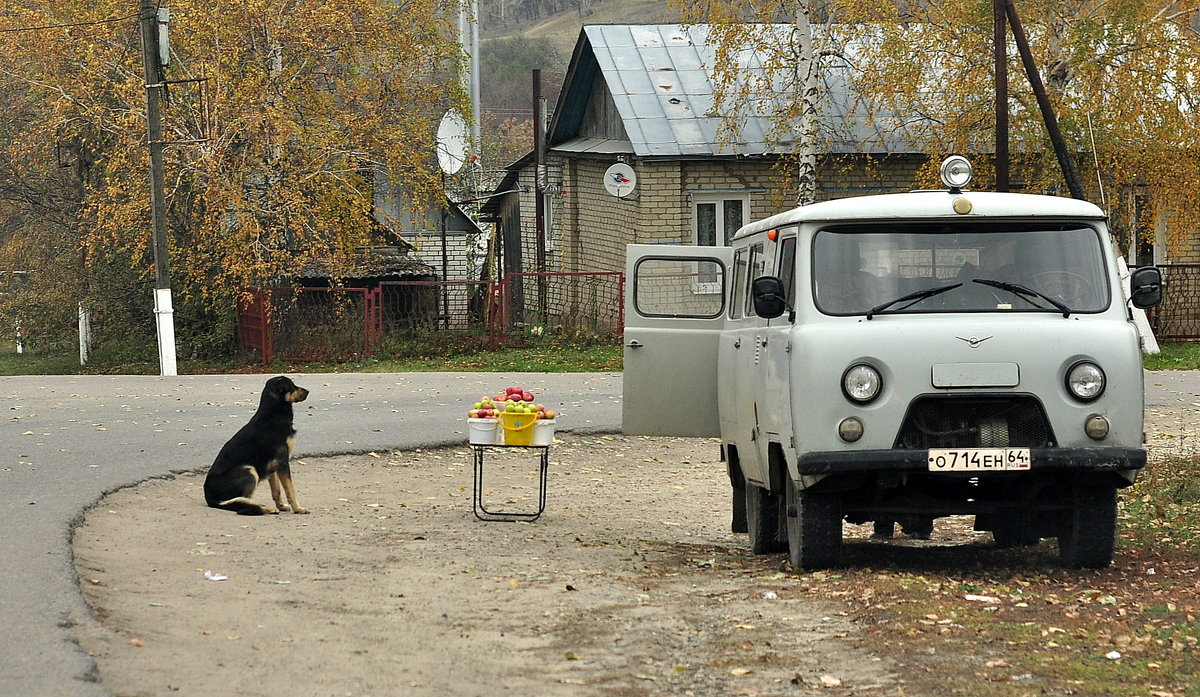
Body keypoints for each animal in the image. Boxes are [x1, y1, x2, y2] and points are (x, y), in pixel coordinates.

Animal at [205, 374, 309, 511]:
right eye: (292, 386)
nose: (308, 391)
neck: (273, 416)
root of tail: (210, 499)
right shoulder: (282, 461)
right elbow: (290, 490)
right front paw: (298, 509)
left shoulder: (273, 466)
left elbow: (276, 491)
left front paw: (281, 506)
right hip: (250, 470)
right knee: (244, 503)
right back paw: (268, 509)